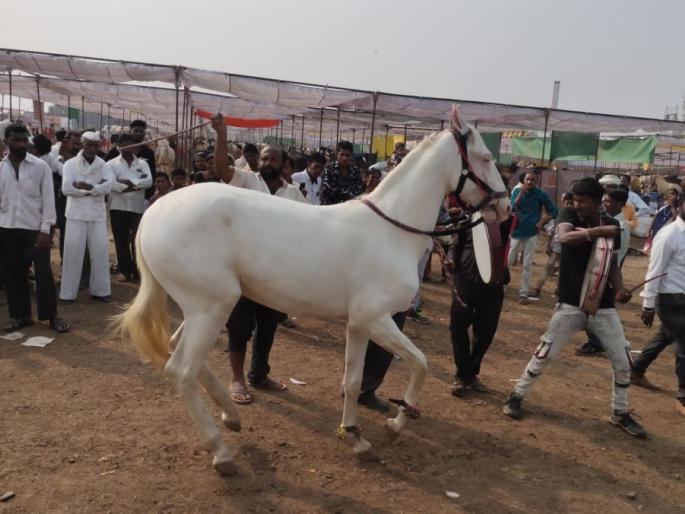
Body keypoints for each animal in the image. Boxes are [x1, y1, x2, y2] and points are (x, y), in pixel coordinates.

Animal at [116, 107, 511, 476]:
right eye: (486, 158)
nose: (505, 207)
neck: (392, 231)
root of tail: (153, 215)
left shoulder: (359, 324)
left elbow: (353, 380)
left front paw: (356, 436)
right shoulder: (378, 319)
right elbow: (421, 363)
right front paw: (396, 424)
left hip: (203, 308)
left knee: (179, 353)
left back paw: (232, 416)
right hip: (213, 306)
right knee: (182, 369)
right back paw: (221, 450)